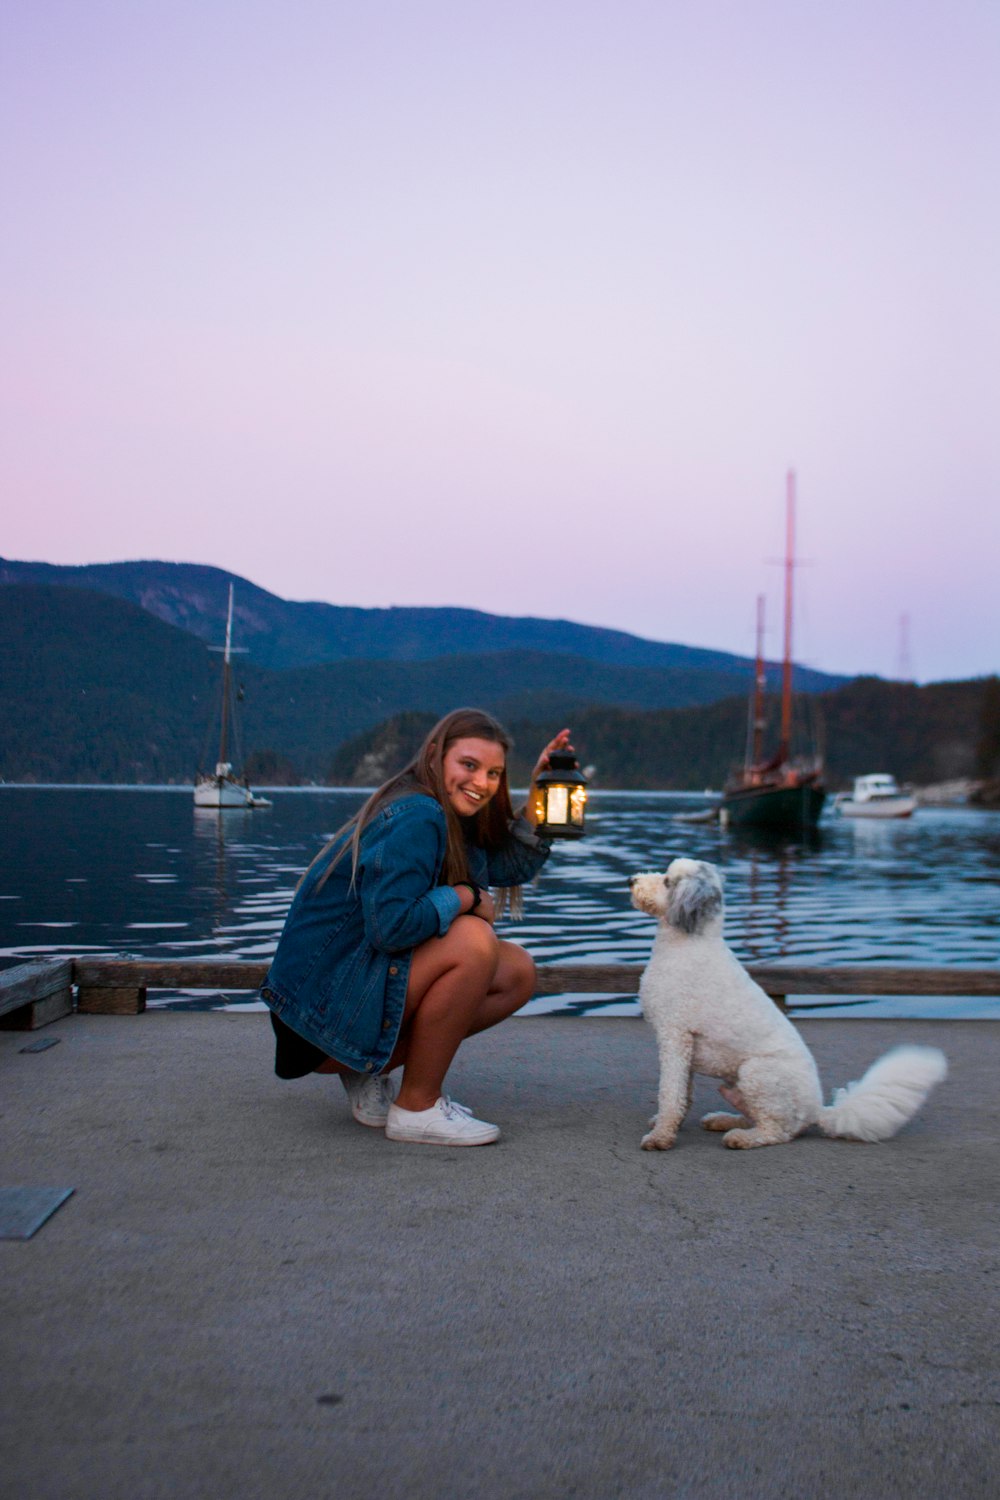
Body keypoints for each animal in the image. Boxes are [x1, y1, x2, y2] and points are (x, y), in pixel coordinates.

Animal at [629, 858, 953, 1146]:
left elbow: (670, 1092)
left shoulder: (675, 1035)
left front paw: (660, 1137)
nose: (632, 881)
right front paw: (667, 1125)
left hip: (757, 1073)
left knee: (778, 1131)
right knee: (761, 1117)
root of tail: (818, 1110)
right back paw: (724, 1120)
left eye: (667, 881)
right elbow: (684, 1092)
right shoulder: (684, 1044)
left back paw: (741, 1138)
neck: (689, 943)